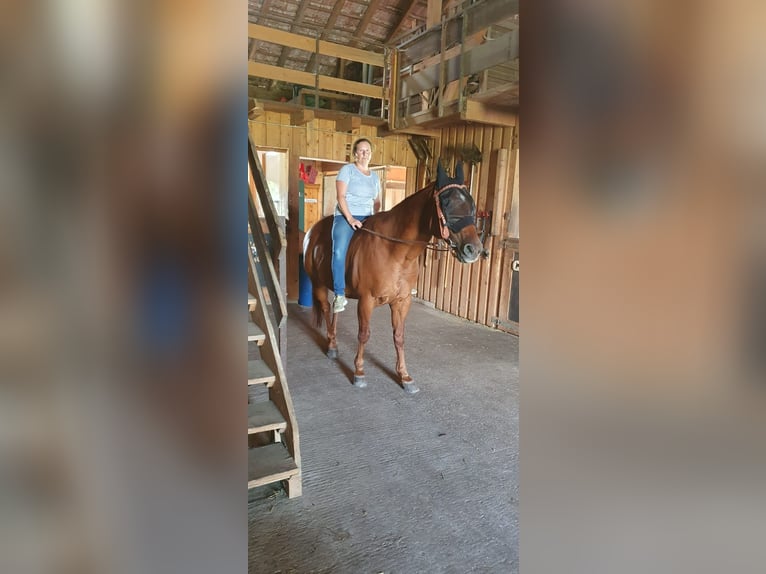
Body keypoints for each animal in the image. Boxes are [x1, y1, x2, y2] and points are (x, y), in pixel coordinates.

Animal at [302, 162, 486, 396]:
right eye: (445, 203)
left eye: (471, 203)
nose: (474, 250)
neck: (396, 251)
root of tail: (313, 232)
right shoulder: (366, 301)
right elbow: (364, 334)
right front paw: (359, 373)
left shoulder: (402, 301)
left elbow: (399, 337)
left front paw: (405, 377)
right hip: (318, 285)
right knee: (326, 310)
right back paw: (332, 347)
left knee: (335, 311)